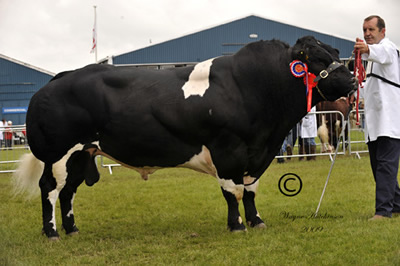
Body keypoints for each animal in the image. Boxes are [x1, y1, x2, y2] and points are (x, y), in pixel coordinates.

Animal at [13, 35, 356, 239]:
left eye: (335, 53)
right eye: (314, 58)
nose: (353, 79)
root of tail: (59, 79)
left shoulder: (257, 155)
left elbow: (250, 191)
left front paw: (257, 221)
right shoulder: (228, 149)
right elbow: (232, 192)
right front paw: (236, 225)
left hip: (81, 153)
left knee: (68, 191)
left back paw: (72, 229)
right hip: (58, 153)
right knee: (50, 189)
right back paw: (52, 232)